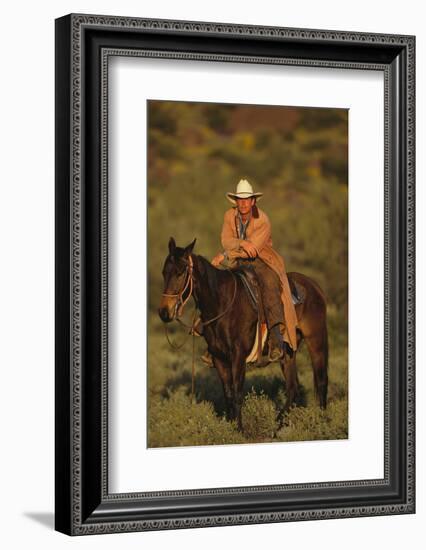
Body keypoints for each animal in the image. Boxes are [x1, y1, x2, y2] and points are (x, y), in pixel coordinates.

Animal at [158, 239, 328, 434]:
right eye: (164, 272)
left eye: (180, 272)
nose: (164, 312)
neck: (222, 303)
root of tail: (314, 286)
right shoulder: (219, 358)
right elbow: (228, 394)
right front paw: (230, 426)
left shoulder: (238, 356)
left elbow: (238, 392)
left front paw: (239, 429)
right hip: (288, 352)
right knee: (293, 388)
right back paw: (277, 425)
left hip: (316, 341)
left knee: (321, 381)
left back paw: (321, 422)